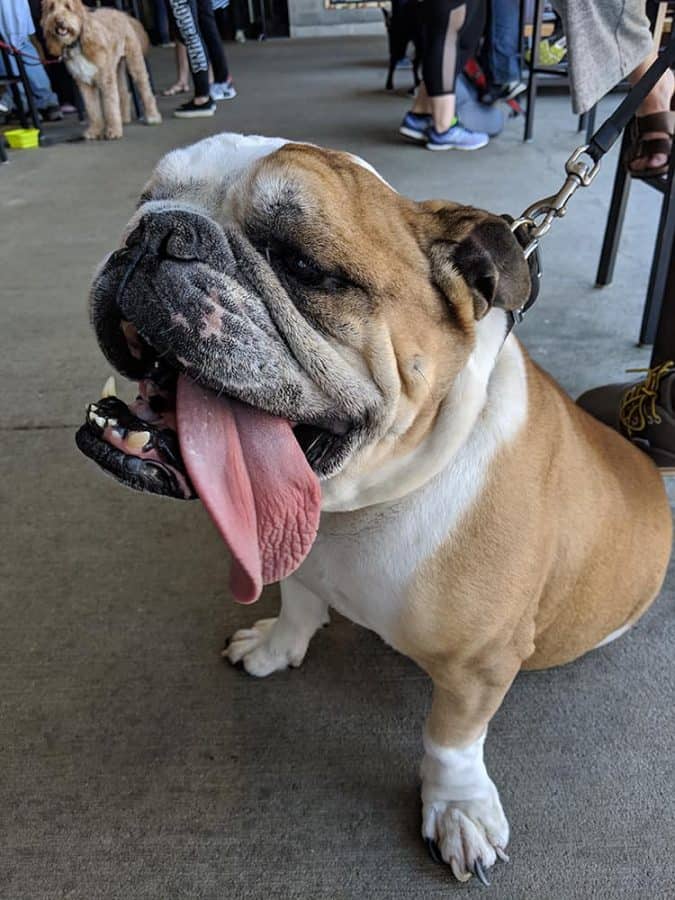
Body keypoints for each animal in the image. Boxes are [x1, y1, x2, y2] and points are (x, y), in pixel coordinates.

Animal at [41, 0, 162, 140]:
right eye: (51, 8)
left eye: (68, 7)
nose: (58, 21)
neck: (77, 43)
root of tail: (122, 14)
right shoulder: (84, 83)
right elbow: (92, 109)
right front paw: (94, 131)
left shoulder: (106, 80)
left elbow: (110, 106)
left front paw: (113, 131)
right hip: (116, 67)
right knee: (123, 92)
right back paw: (124, 118)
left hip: (135, 62)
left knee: (145, 90)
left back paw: (153, 116)